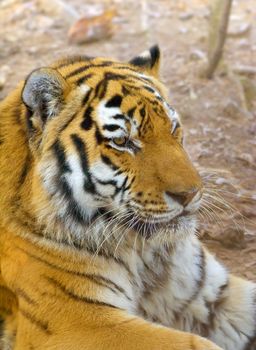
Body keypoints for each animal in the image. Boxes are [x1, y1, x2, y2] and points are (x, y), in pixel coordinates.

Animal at [0, 46, 255, 350]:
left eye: (173, 128)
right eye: (122, 142)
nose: (190, 193)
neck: (146, 254)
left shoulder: (210, 293)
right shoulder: (77, 321)